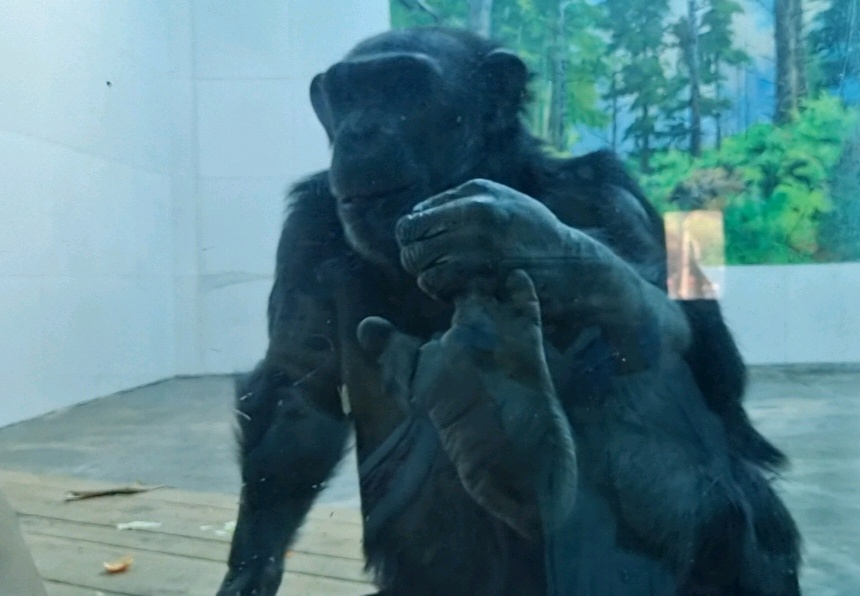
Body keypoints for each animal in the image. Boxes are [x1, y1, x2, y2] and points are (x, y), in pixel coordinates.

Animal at [218, 26, 804, 596]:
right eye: (348, 94)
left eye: (403, 87)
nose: (361, 130)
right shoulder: (307, 230)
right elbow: (298, 389)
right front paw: (250, 568)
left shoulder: (610, 195)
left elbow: (713, 371)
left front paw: (522, 238)